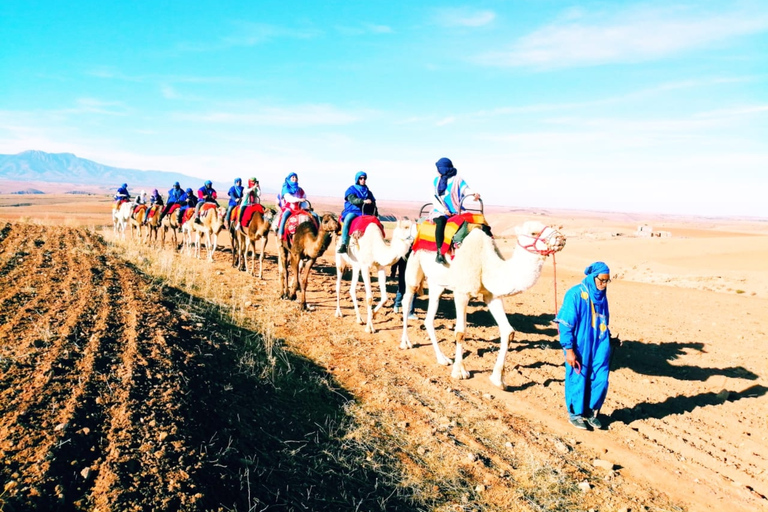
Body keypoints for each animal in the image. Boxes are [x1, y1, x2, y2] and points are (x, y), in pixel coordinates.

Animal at [400, 218, 568, 390]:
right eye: (534, 232)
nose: (560, 238)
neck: (485, 261)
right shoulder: (461, 292)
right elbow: (460, 332)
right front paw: (460, 371)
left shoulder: (492, 295)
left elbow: (508, 332)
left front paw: (498, 379)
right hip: (414, 264)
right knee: (407, 299)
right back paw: (405, 343)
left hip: (436, 282)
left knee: (429, 317)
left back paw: (442, 358)